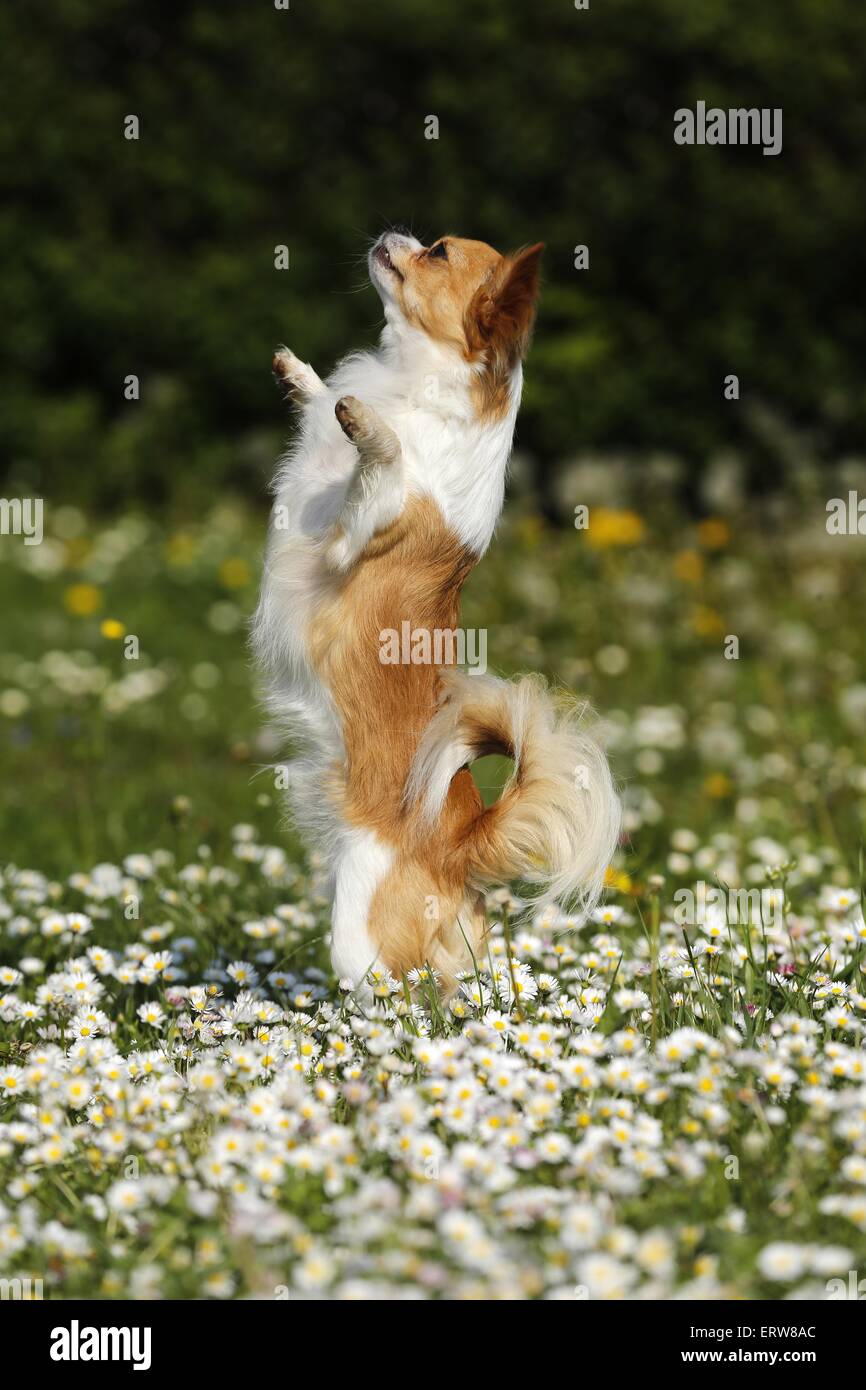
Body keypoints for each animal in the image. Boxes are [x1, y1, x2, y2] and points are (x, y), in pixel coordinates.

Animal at [252, 227, 622, 995]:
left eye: (440, 252)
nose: (393, 233)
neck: (413, 385)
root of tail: (460, 844)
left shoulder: (352, 536)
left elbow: (383, 458)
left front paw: (365, 423)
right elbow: (327, 405)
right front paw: (303, 378)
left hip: (359, 942)